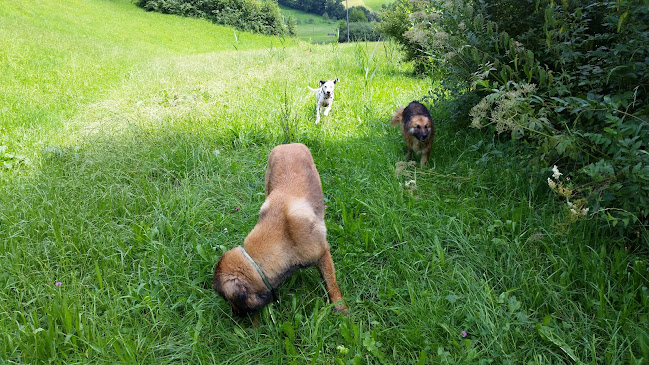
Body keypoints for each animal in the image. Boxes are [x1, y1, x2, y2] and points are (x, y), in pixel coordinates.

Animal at [213, 142, 346, 318]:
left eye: (230, 300)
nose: (235, 316)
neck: (284, 238)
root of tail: (288, 144)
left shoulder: (323, 253)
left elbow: (332, 283)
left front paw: (340, 306)